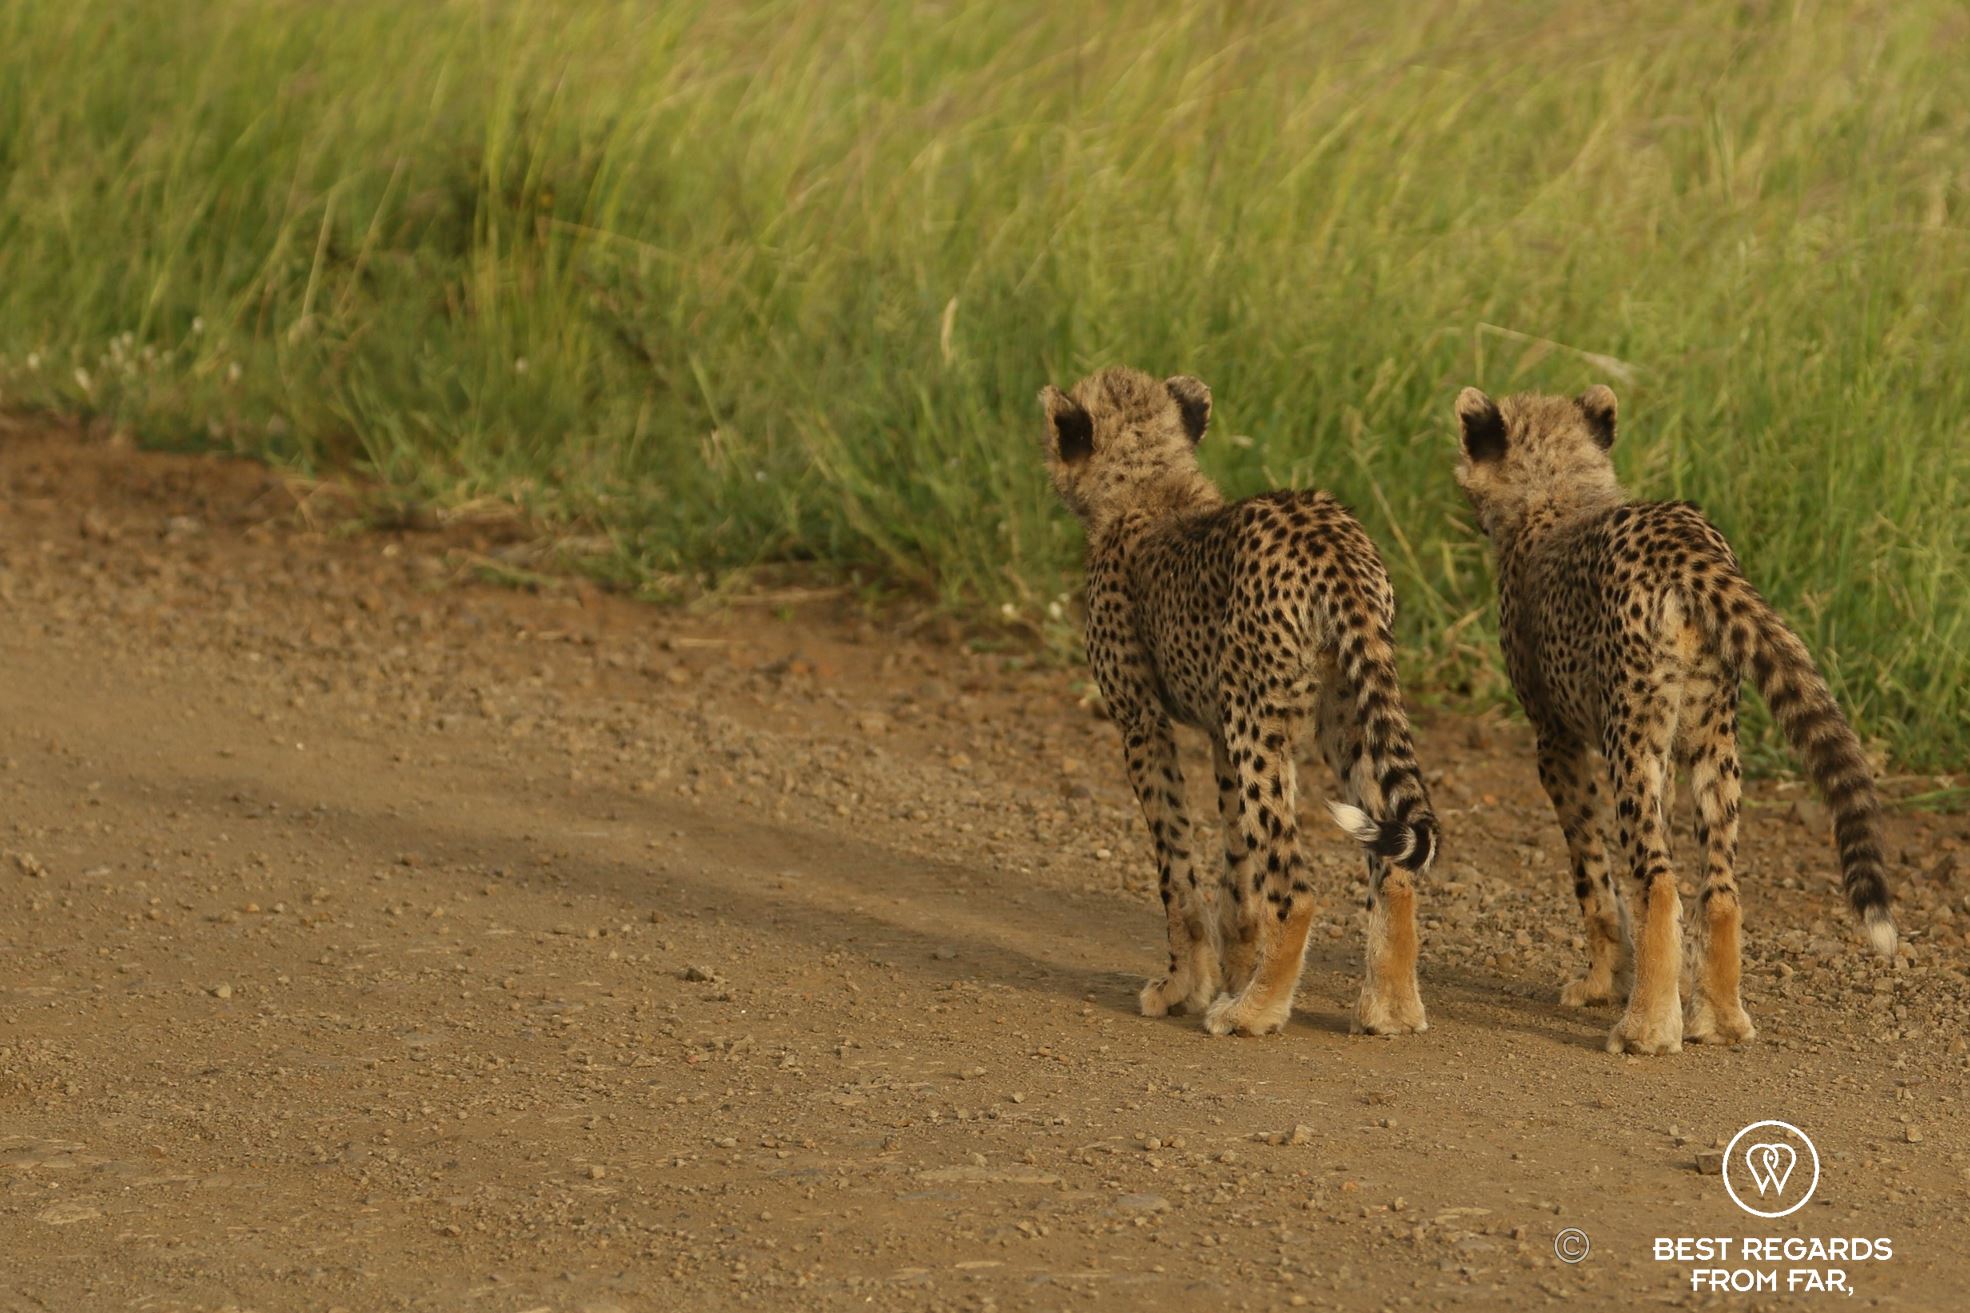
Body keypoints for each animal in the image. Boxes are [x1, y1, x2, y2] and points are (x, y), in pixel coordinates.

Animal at [1039, 366, 1442, 1038]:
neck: (1149, 486)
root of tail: (1331, 532)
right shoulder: (1219, 730)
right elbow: (1237, 872)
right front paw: (1233, 967)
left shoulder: (1143, 723)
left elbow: (1176, 865)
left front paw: (1185, 986)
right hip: (1341, 714)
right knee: (1393, 866)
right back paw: (1390, 1009)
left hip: (1260, 724)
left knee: (1297, 886)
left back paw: (1256, 1011)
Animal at [1452, 383, 1899, 1056]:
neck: (1557, 493)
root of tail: (1687, 540)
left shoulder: (1556, 741)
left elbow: (1595, 877)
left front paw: (1601, 984)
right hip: (1712, 743)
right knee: (1720, 889)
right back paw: (1720, 1020)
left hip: (1632, 744)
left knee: (1660, 883)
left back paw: (1644, 1031)